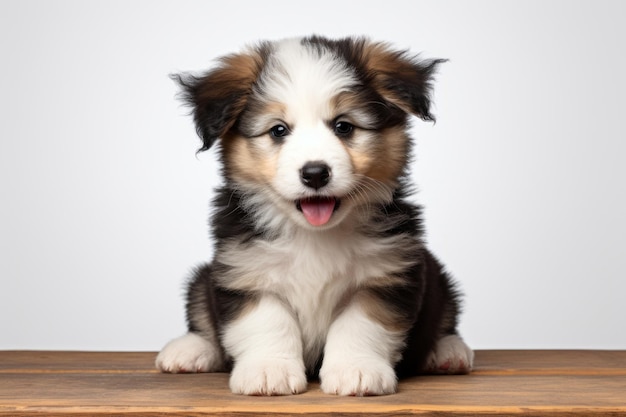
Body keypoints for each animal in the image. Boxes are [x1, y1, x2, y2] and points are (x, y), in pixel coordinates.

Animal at [156, 35, 472, 394]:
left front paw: (356, 370)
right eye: (278, 130)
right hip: (202, 277)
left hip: (439, 278)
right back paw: (188, 349)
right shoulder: (244, 271)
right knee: (200, 310)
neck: (314, 234)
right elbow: (267, 322)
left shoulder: (388, 274)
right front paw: (269, 370)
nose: (315, 173)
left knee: (446, 317)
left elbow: (359, 325)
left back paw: (448, 351)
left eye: (343, 126)